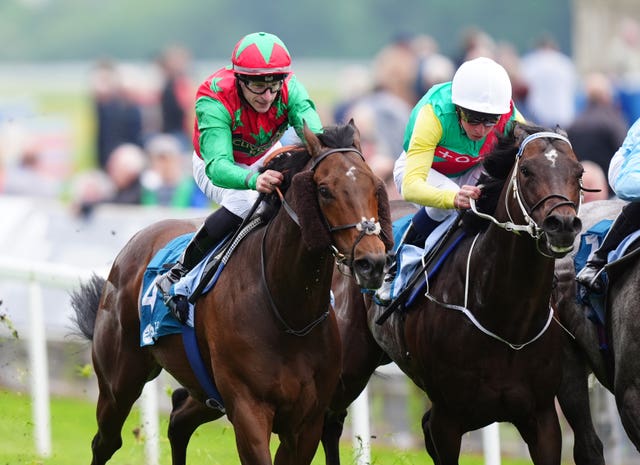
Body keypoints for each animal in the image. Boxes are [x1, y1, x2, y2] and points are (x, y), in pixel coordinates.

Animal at [69, 120, 390, 464]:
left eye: (375, 187)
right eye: (324, 190)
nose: (372, 262)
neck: (288, 311)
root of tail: (132, 245)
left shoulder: (307, 422)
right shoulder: (248, 408)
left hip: (206, 391)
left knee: (178, 419)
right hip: (119, 382)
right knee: (105, 441)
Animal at [324, 123, 584, 464]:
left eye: (579, 173)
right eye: (526, 170)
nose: (562, 224)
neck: (508, 321)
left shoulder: (542, 419)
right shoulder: (448, 418)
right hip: (348, 364)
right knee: (329, 421)